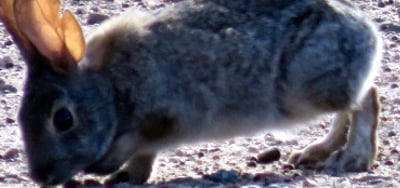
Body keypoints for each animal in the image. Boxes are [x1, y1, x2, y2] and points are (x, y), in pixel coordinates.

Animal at [0, 0, 382, 186]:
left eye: (63, 119)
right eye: (19, 117)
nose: (41, 177)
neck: (111, 89)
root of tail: (368, 31)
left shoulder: (162, 117)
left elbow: (140, 144)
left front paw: (109, 170)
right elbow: (143, 157)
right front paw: (126, 176)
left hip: (306, 91)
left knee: (366, 98)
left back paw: (352, 159)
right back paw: (318, 151)